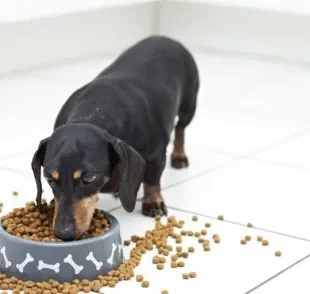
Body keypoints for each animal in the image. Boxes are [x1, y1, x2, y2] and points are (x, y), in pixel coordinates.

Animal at [31, 35, 200, 241]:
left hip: (189, 105)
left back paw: (179, 156)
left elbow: (152, 180)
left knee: (180, 128)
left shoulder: (156, 155)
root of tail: (165, 37)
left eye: (89, 178)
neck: (94, 113)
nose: (63, 233)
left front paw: (153, 202)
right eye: (49, 179)